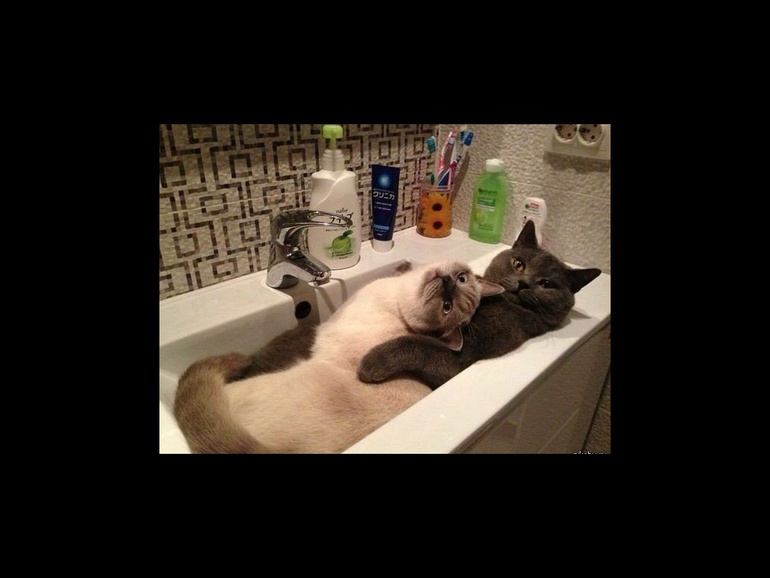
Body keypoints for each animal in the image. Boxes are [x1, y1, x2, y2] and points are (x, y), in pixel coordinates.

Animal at [357, 219, 602, 389]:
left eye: (546, 284)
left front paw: (371, 363)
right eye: (519, 264)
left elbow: (417, 344)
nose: (523, 283)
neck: (500, 302)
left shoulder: (461, 358)